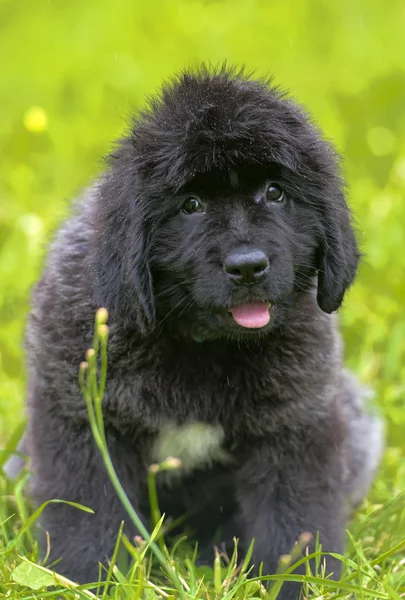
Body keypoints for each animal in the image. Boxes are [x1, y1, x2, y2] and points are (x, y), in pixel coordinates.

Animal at [11, 65, 382, 596]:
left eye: (275, 193)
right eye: (190, 205)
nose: (247, 266)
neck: (201, 346)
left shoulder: (295, 425)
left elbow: (294, 521)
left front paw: (295, 582)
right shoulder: (82, 418)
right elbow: (85, 514)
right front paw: (83, 580)